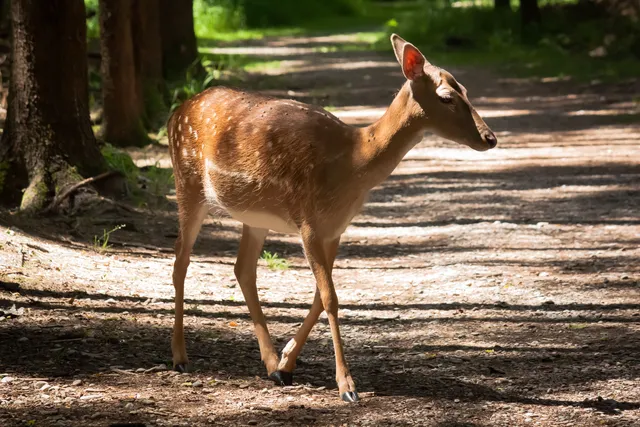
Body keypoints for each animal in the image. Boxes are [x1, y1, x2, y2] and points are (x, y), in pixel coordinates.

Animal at [167, 34, 497, 403]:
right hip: (187, 183)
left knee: (242, 269)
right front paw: (347, 386)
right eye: (447, 97)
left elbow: (318, 297)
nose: (490, 138)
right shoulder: (308, 221)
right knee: (180, 261)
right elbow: (331, 298)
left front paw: (287, 364)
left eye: (465, 89)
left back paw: (270, 364)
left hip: (254, 216)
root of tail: (176, 112)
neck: (352, 161)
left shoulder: (335, 228)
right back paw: (180, 357)